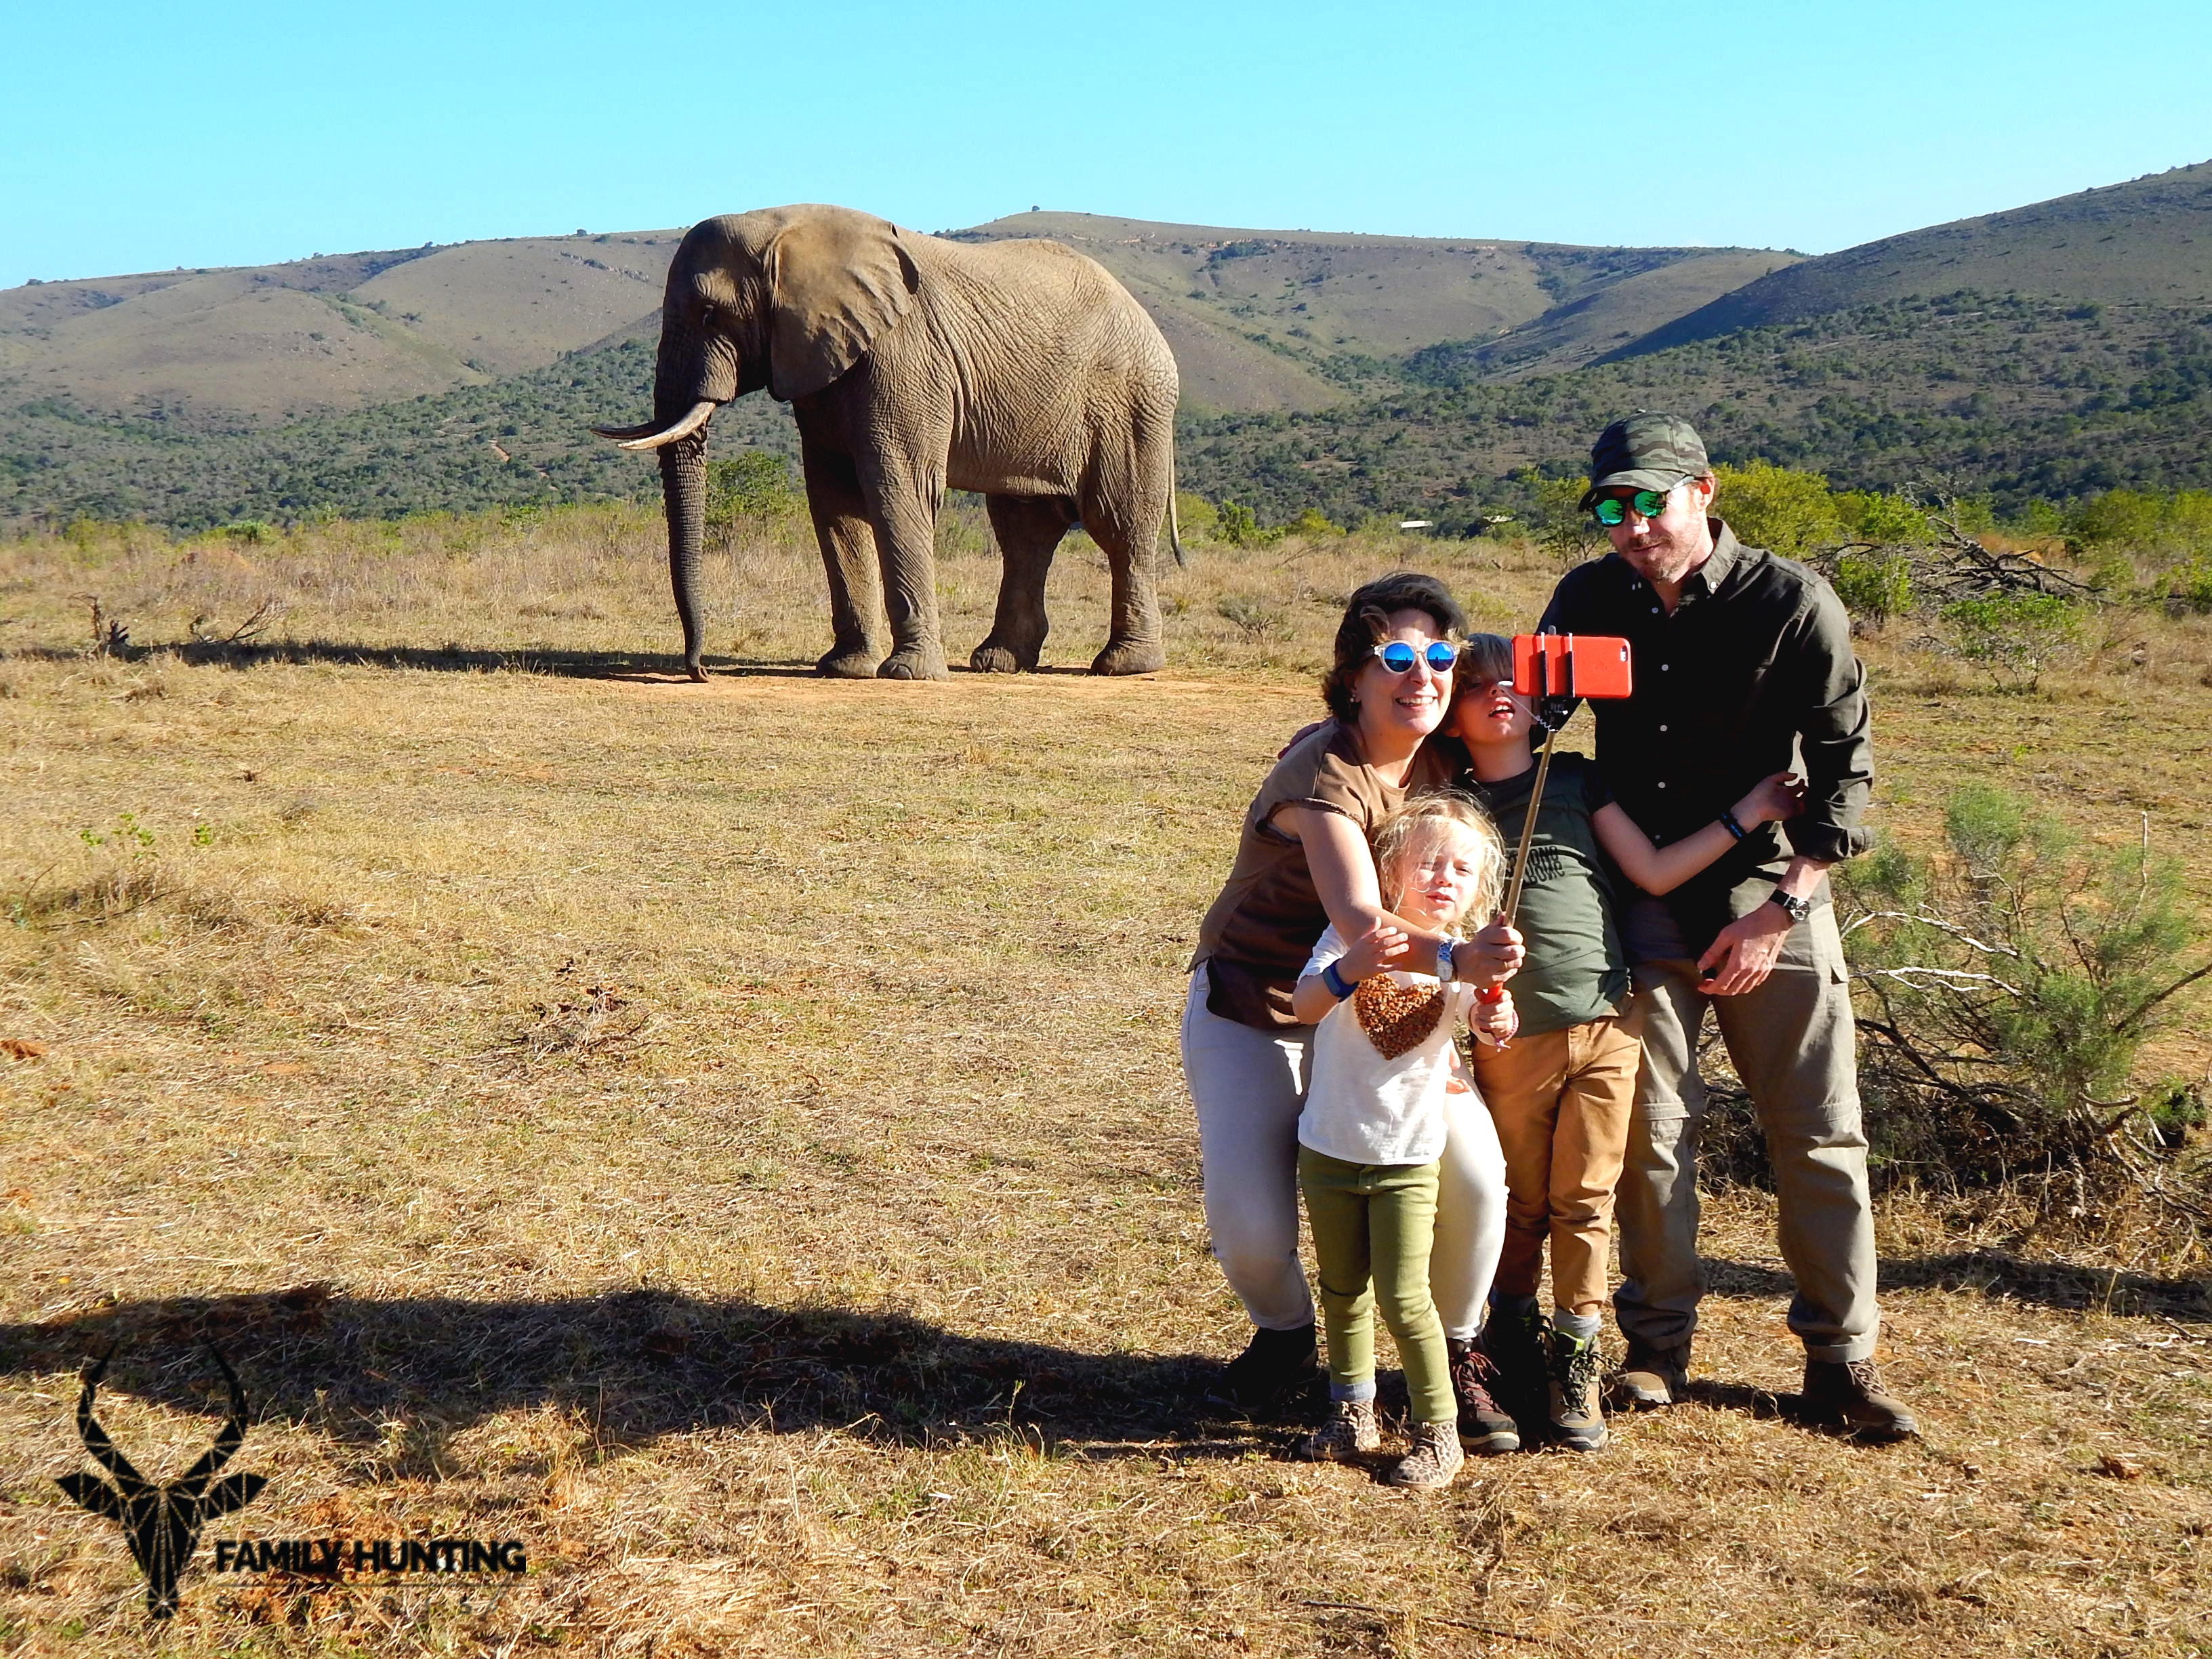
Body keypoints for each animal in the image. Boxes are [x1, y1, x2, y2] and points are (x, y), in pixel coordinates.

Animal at [583, 203, 1176, 681]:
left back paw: (1123, 666)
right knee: (1024, 531)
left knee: (1117, 522)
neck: (785, 227)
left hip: (1133, 405)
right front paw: (845, 668)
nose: (699, 671)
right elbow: (834, 502)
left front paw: (908, 675)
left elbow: (897, 490)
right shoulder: (821, 364)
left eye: (710, 313)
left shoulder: (905, 358)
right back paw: (999, 663)